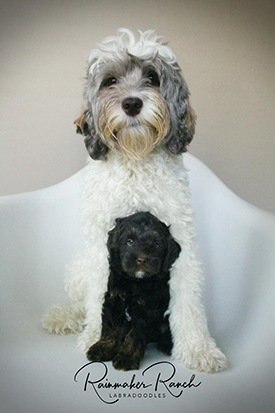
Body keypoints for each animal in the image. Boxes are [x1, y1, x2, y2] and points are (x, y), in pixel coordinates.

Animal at [86, 212, 181, 370]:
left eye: (156, 244)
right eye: (130, 241)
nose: (141, 259)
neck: (135, 281)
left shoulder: (144, 310)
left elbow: (134, 334)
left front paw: (126, 357)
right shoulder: (113, 300)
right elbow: (111, 327)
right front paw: (103, 348)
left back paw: (166, 344)